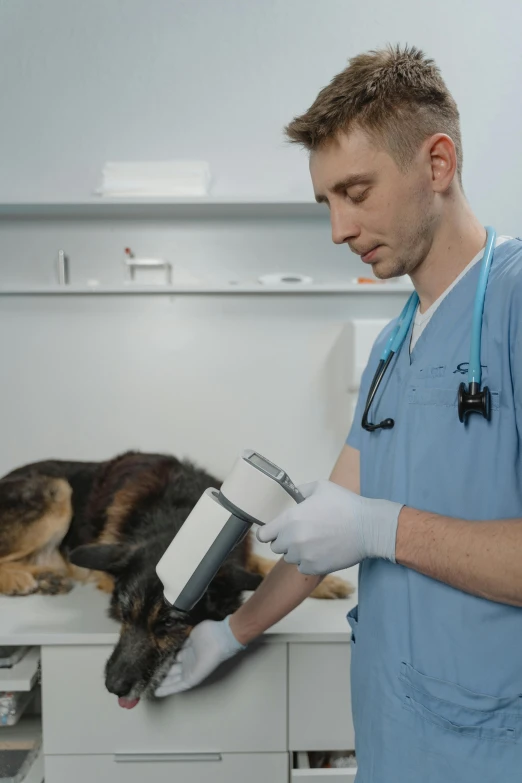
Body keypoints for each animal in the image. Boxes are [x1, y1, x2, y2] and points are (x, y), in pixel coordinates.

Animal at [0, 450, 352, 708]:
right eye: (123, 614)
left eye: (169, 623)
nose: (113, 687)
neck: (176, 518)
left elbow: (265, 564)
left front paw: (327, 577)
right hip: (58, 489)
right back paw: (21, 580)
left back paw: (47, 577)